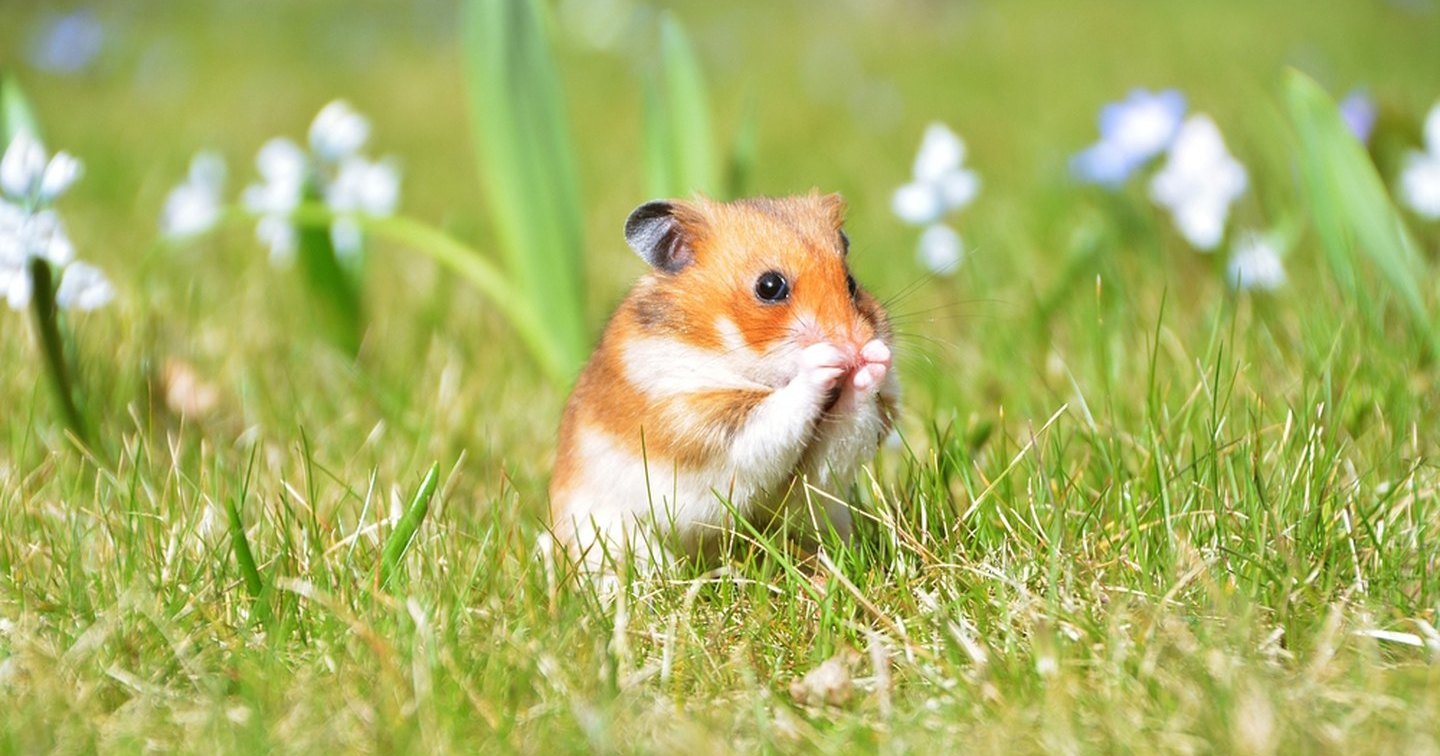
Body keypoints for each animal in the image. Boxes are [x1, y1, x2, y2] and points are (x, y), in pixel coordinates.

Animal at [550, 192, 898, 573]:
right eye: (770, 286)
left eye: (850, 283)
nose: (855, 346)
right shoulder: (701, 423)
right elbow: (779, 412)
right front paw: (824, 360)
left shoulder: (819, 469)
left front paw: (874, 358)